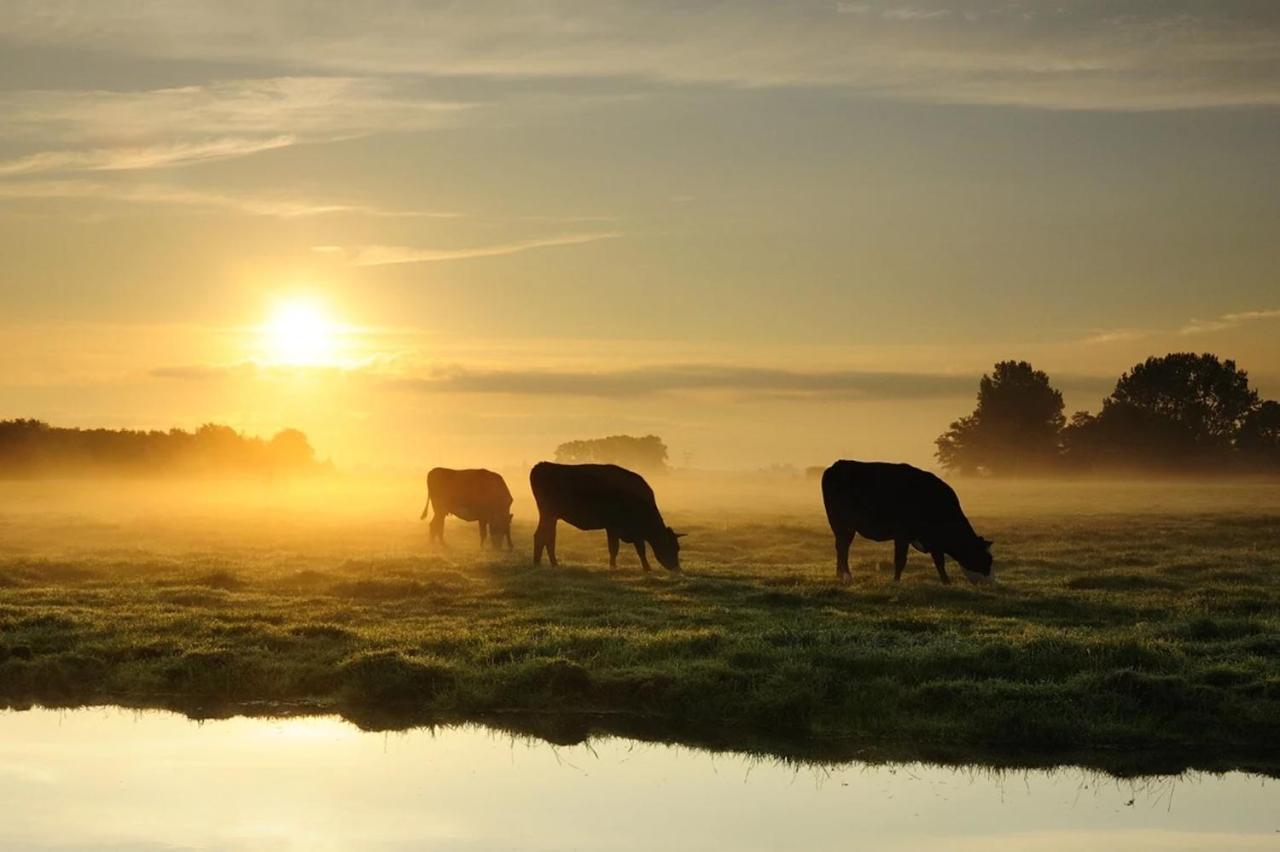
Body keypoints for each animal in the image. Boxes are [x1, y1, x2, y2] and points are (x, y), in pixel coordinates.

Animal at [529, 457, 686, 570]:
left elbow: (636, 549)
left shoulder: (631, 532)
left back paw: (547, 563)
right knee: (543, 536)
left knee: (547, 537)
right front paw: (617, 567)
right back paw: (543, 563)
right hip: (548, 514)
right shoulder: (615, 527)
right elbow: (618, 548)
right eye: (673, 547)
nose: (676, 568)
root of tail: (542, 465)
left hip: (551, 517)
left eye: (678, 548)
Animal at [824, 457, 993, 583]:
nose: (990, 582)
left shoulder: (934, 539)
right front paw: (896, 581)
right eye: (987, 559)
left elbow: (939, 561)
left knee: (842, 547)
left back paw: (841, 575)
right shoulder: (902, 534)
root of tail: (838, 464)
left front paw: (946, 581)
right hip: (841, 524)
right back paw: (846, 576)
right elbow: (900, 559)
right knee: (843, 547)